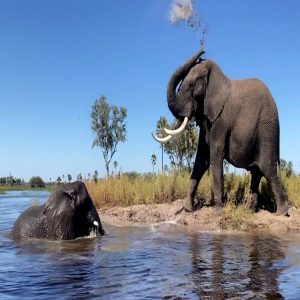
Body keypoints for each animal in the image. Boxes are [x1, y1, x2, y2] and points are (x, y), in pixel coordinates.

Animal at [154, 48, 290, 216]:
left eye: (191, 86)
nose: (202, 50)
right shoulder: (207, 119)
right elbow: (201, 159)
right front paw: (188, 208)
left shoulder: (221, 119)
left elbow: (215, 153)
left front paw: (217, 211)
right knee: (256, 172)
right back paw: (251, 210)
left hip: (268, 129)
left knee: (268, 170)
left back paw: (281, 213)